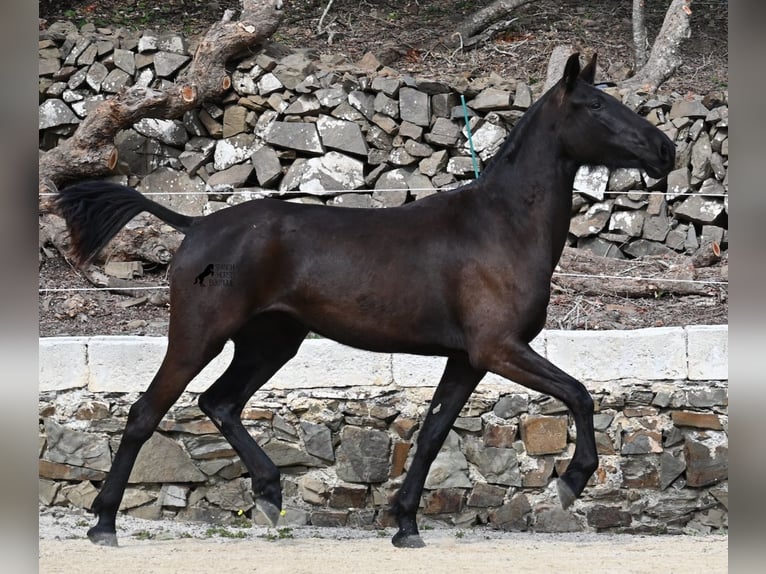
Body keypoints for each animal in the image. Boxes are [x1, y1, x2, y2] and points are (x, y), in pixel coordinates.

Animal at [54, 54, 676, 548]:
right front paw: (570, 483)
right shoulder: (499, 349)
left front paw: (405, 524)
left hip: (270, 342)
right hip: (198, 335)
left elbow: (432, 435)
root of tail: (194, 225)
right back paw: (104, 523)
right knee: (146, 412)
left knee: (220, 403)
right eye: (595, 106)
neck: (501, 226)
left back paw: (270, 494)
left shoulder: (467, 359)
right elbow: (579, 395)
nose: (665, 150)